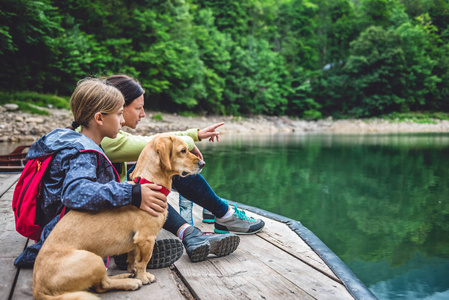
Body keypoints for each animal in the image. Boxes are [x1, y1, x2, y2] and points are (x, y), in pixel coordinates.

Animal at [32, 135, 205, 300]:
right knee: (102, 285)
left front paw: (133, 271)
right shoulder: (146, 239)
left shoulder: (136, 243)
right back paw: (130, 282)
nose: (203, 163)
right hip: (93, 259)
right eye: (183, 150)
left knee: (103, 282)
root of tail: (37, 288)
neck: (147, 182)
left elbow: (133, 258)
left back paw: (124, 276)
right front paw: (143, 277)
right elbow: (144, 262)